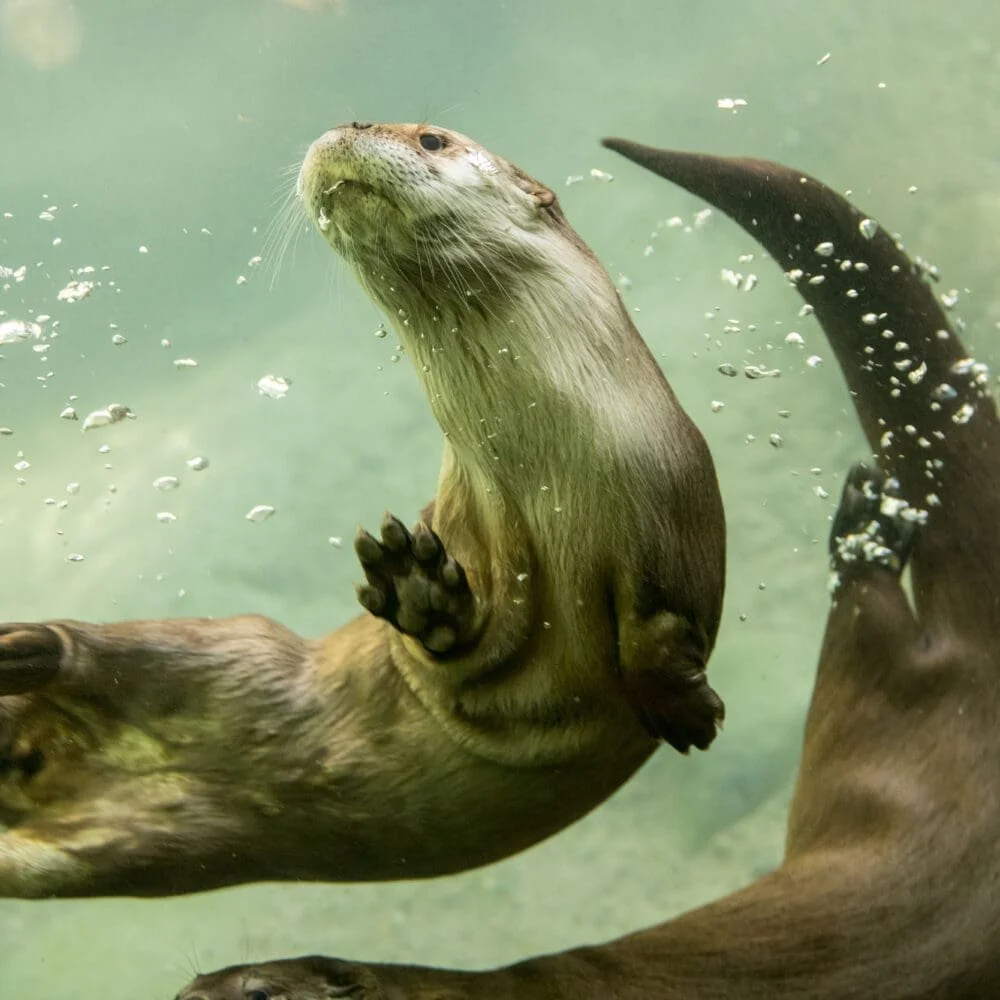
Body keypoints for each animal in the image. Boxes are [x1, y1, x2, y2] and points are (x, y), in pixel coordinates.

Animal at [0, 124, 725, 897]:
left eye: (432, 138)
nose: (345, 126)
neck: (547, 473)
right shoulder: (463, 515)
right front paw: (417, 588)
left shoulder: (672, 510)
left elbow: (660, 628)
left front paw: (685, 710)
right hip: (234, 650)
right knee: (102, 650)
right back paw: (23, 647)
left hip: (133, 845)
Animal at [175, 151, 1000, 996]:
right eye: (195, 983)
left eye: (259, 993)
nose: (188, 987)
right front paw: (421, 592)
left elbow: (651, 617)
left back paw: (866, 524)